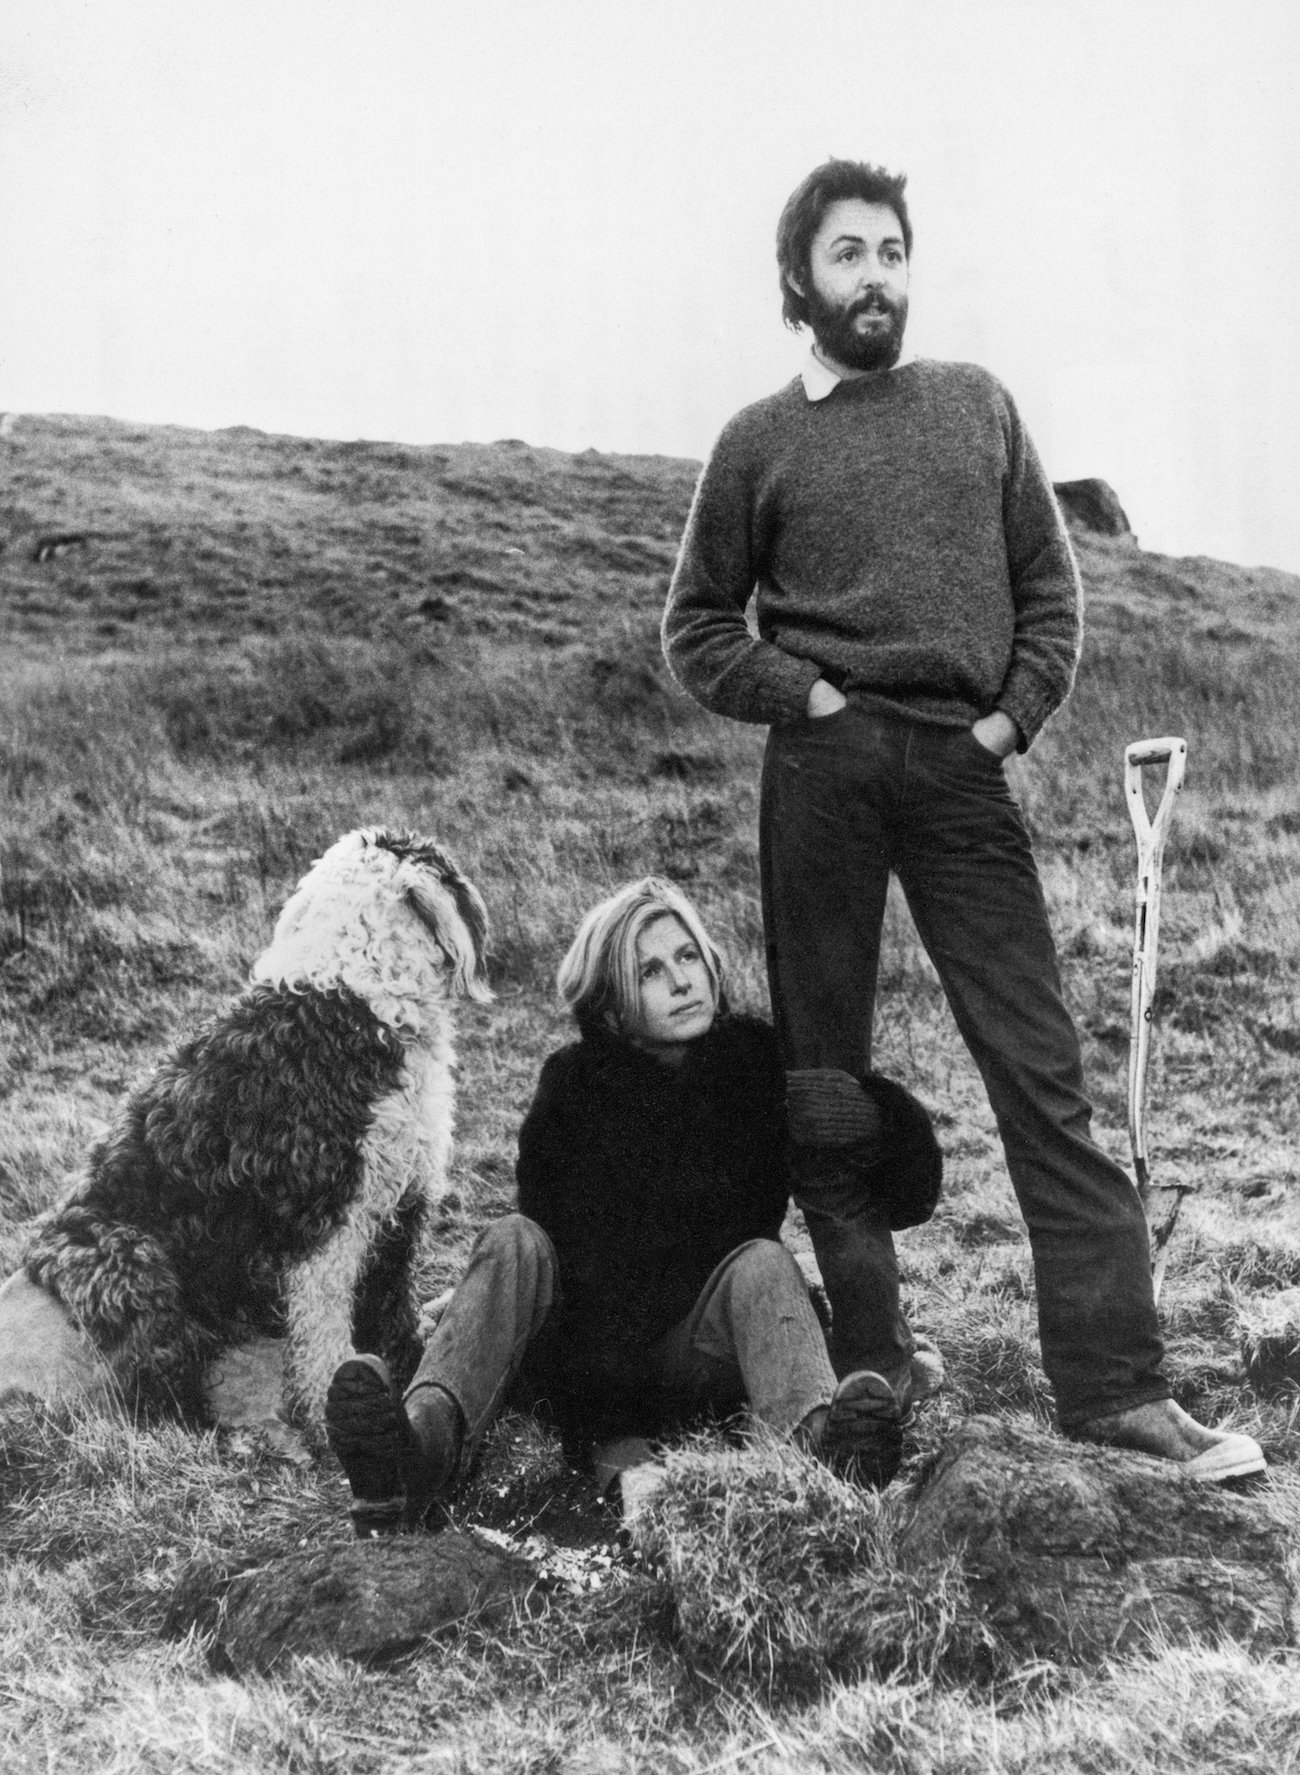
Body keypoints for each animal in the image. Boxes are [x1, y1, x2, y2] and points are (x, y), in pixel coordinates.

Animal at [22, 823, 490, 1434]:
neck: (352, 1004)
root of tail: (39, 1245)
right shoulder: (326, 1224)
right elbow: (323, 1330)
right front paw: (329, 1410)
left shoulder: (403, 1202)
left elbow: (393, 1301)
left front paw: (409, 1352)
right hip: (137, 1265)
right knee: (156, 1374)